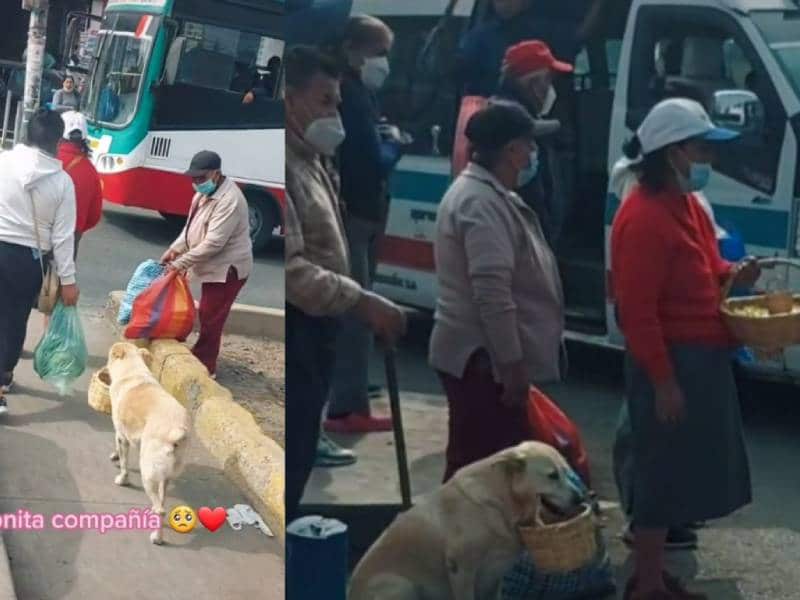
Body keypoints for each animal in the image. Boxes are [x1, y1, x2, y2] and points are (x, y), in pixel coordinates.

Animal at [105, 342, 191, 544]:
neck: (133, 370)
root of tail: (176, 429)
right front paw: (115, 456)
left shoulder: (121, 434)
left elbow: (124, 462)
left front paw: (122, 478)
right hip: (166, 475)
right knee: (162, 500)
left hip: (148, 472)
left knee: (160, 509)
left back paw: (157, 537)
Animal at [350, 440, 588, 600]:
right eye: (552, 476)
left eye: (568, 472)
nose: (581, 497)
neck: (500, 501)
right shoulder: (461, 569)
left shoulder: (497, 573)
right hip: (398, 585)